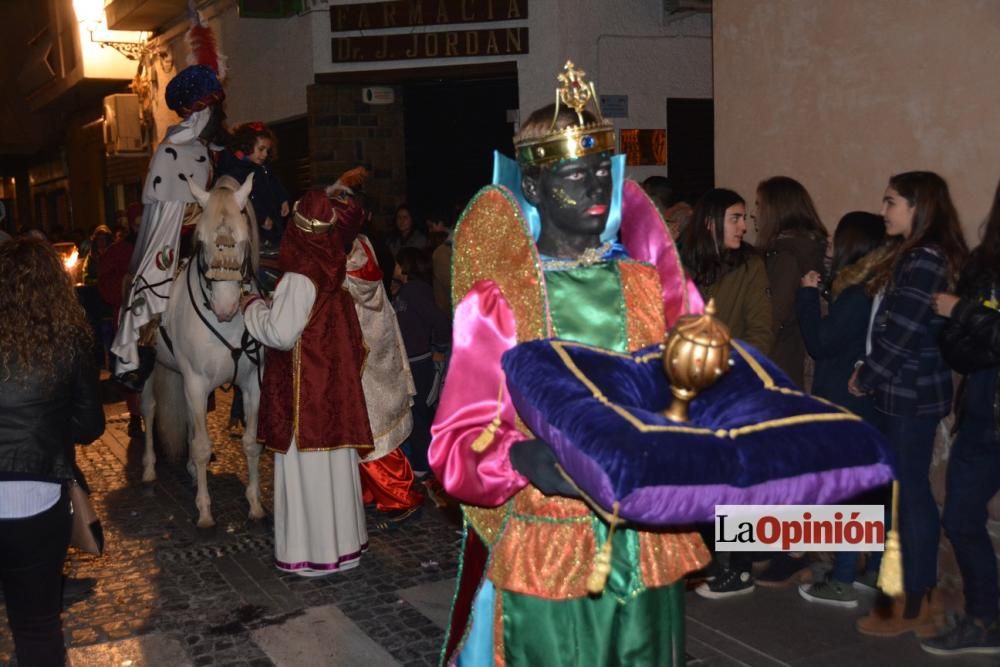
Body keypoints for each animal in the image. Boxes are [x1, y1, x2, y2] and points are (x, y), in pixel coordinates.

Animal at [142, 175, 266, 528]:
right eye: (202, 243)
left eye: (242, 241)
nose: (225, 308)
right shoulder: (196, 382)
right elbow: (201, 447)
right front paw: (205, 511)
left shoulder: (251, 385)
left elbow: (251, 444)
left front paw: (254, 504)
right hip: (153, 371)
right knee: (149, 409)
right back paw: (149, 467)